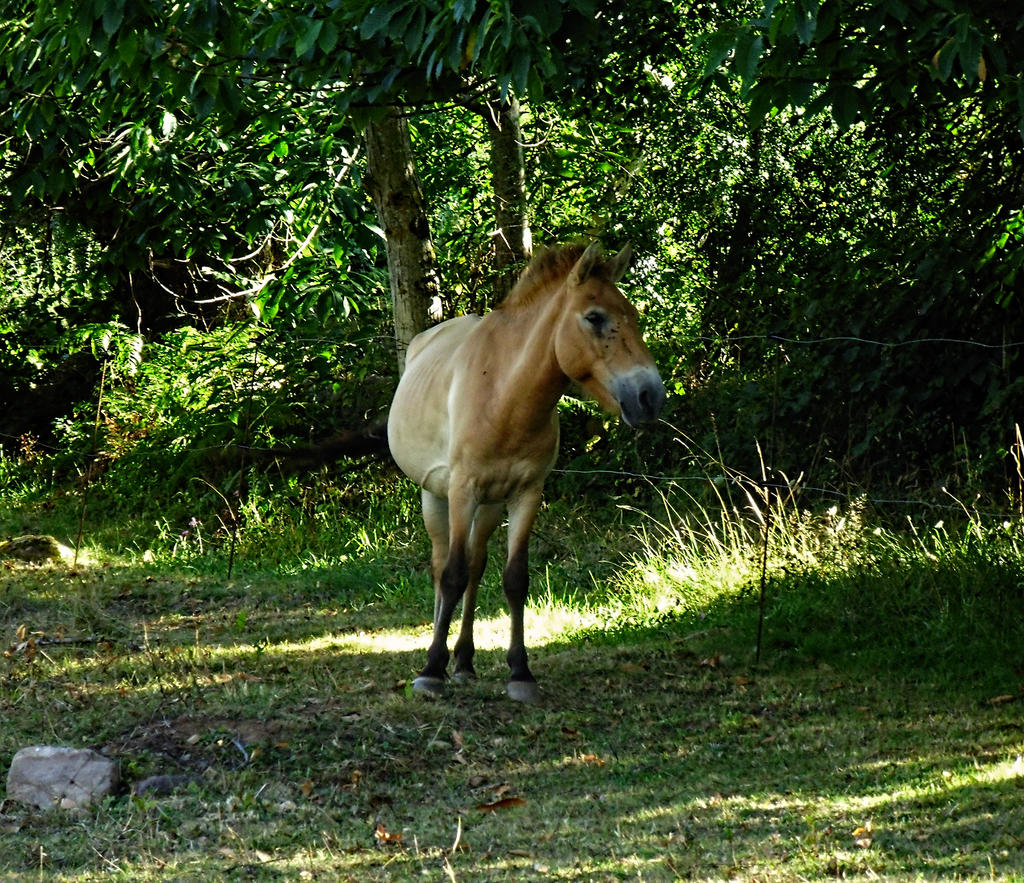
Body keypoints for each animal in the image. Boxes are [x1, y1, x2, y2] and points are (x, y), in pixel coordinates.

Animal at [387, 243, 667, 704]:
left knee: (476, 565)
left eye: (634, 315)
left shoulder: (527, 493)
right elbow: (451, 576)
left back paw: (464, 662)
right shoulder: (462, 491)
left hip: (490, 503)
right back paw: (439, 655)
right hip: (436, 495)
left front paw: (520, 673)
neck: (505, 394)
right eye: (595, 317)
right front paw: (430, 670)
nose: (651, 397)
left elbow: (515, 578)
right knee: (444, 564)